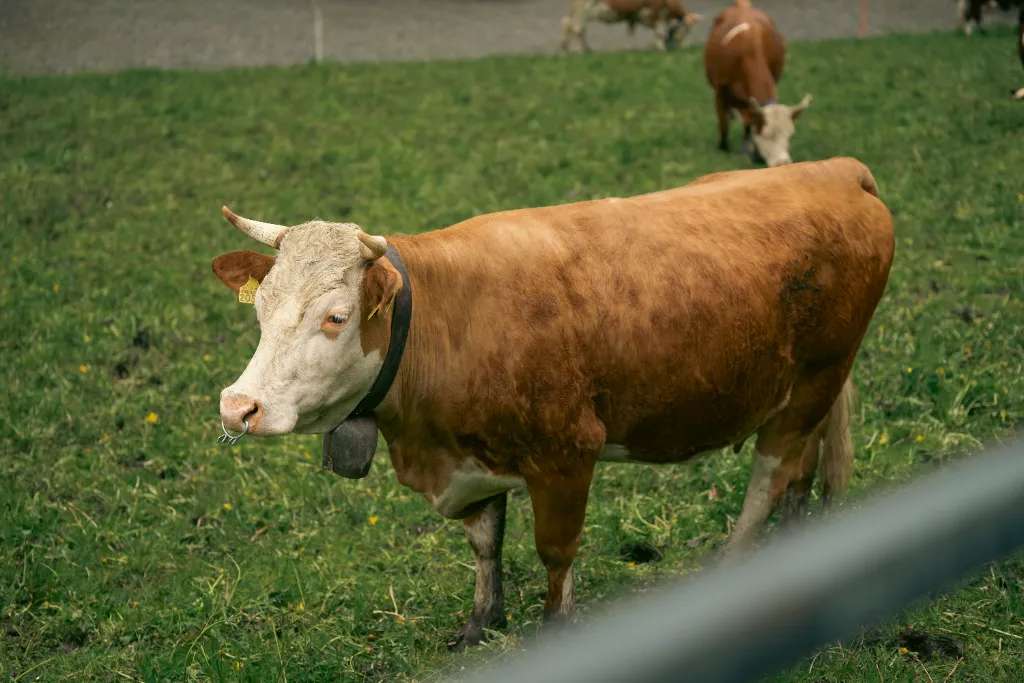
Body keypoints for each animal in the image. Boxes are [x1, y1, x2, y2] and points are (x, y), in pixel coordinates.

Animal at [211, 157, 892, 651]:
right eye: (261, 307)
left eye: (336, 317)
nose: (238, 406)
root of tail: (835, 169)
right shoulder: (470, 457)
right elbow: (486, 542)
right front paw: (480, 624)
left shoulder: (566, 453)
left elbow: (555, 551)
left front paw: (556, 627)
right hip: (807, 396)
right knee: (800, 472)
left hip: (814, 382)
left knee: (772, 476)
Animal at [561, 0, 704, 52]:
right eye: (686, 28)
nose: (686, 47)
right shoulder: (655, 12)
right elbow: (659, 33)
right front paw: (661, 48)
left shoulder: (636, 15)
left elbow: (632, 31)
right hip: (583, 10)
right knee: (577, 28)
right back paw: (585, 50)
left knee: (567, 23)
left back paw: (566, 48)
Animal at [700, 1, 811, 167]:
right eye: (766, 134)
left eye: (790, 135)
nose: (783, 163)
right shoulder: (720, 90)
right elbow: (723, 123)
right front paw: (723, 148)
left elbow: (750, 122)